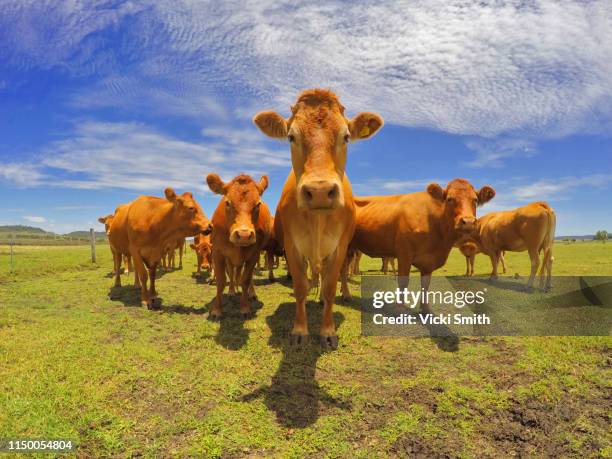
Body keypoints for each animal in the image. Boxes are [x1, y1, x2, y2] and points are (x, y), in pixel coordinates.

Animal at [207, 172, 272, 320]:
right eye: (227, 203)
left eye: (258, 204)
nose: (244, 235)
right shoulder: (218, 252)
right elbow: (221, 280)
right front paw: (216, 310)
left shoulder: (253, 254)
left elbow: (245, 280)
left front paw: (245, 308)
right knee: (232, 273)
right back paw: (232, 290)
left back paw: (251, 293)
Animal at [253, 89, 382, 348]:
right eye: (291, 137)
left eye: (346, 136)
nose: (320, 191)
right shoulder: (292, 247)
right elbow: (301, 287)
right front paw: (300, 331)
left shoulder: (340, 247)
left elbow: (331, 286)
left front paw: (327, 331)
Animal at [342, 179, 494, 310]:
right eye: (449, 199)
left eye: (475, 200)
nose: (468, 222)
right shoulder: (404, 254)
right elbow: (403, 282)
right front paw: (399, 310)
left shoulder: (429, 262)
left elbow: (425, 284)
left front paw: (425, 309)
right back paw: (347, 295)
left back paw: (344, 293)